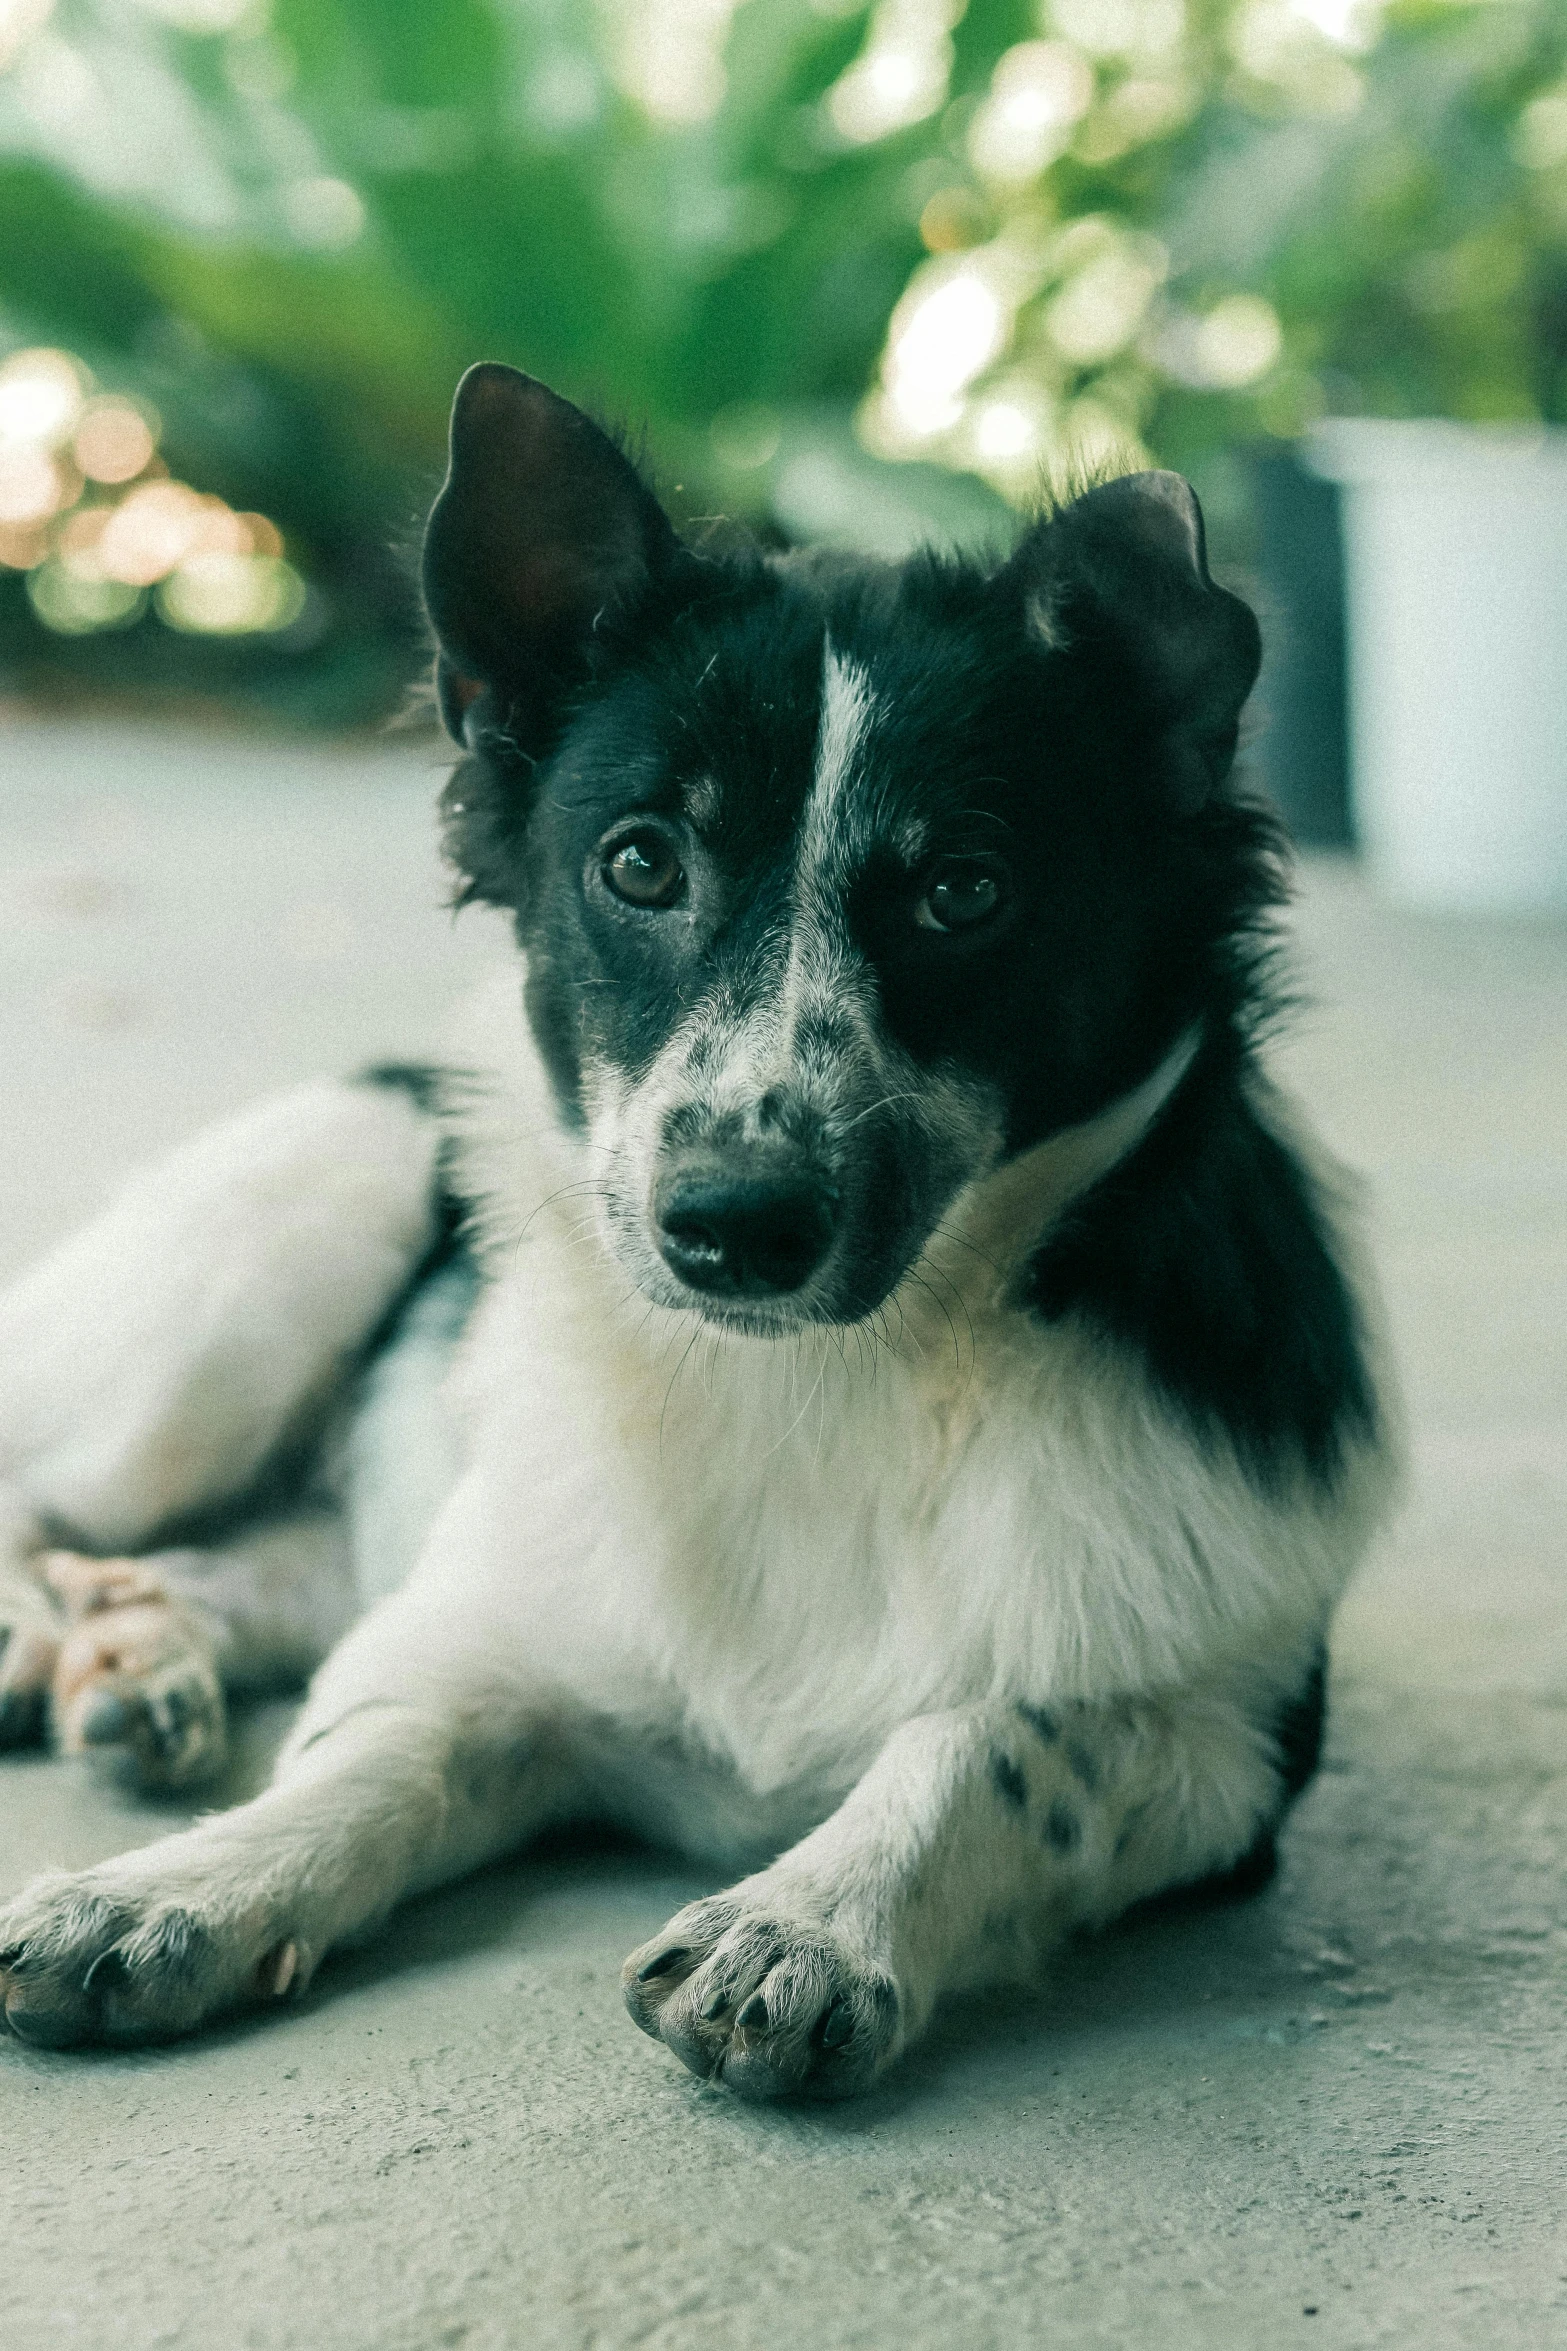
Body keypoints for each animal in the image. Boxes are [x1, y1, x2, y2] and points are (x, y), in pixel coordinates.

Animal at [0, 366, 1400, 2097]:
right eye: (639, 862)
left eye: (963, 890)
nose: (732, 1224)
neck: (831, 1383)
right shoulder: (473, 1644)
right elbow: (364, 1764)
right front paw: (179, 1888)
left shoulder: (1230, 1748)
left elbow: (999, 1736)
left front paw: (812, 1915)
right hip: (280, 1248)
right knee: (54, 1501)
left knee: (253, 1558)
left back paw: (145, 1654)